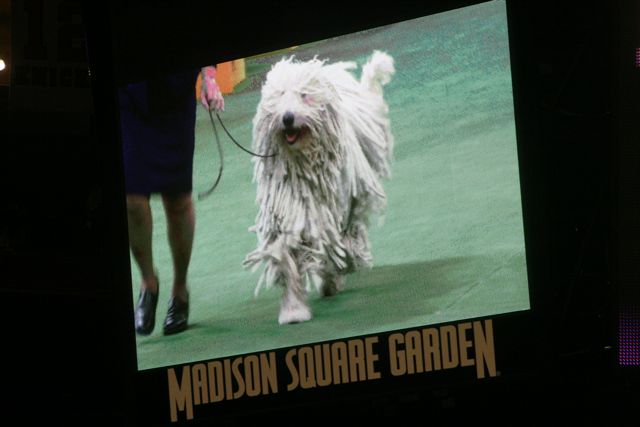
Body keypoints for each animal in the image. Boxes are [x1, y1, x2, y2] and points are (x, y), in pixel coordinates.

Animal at [243, 50, 395, 324]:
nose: (287, 117)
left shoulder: (332, 210)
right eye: (280, 95)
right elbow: (286, 256)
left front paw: (335, 274)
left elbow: (333, 246)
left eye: (304, 95)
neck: (303, 165)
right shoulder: (288, 211)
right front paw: (293, 309)